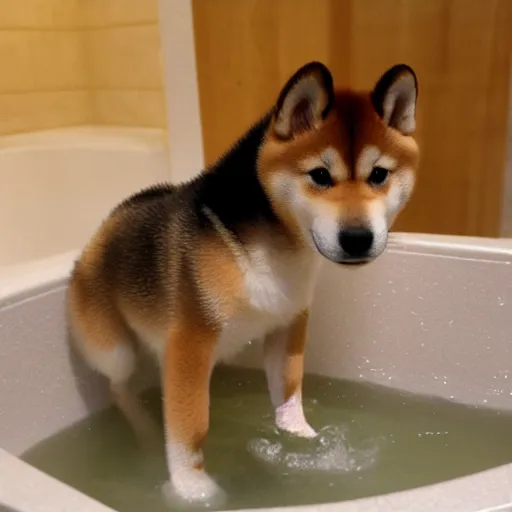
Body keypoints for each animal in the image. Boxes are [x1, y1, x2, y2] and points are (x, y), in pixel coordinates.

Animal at [68, 60, 420, 504]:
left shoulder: (288, 324)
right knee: (119, 388)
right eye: (320, 175)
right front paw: (192, 489)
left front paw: (304, 442)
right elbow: (190, 429)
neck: (272, 246)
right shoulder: (190, 343)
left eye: (379, 175)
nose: (357, 238)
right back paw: (145, 431)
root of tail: (101, 231)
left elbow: (289, 394)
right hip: (113, 348)